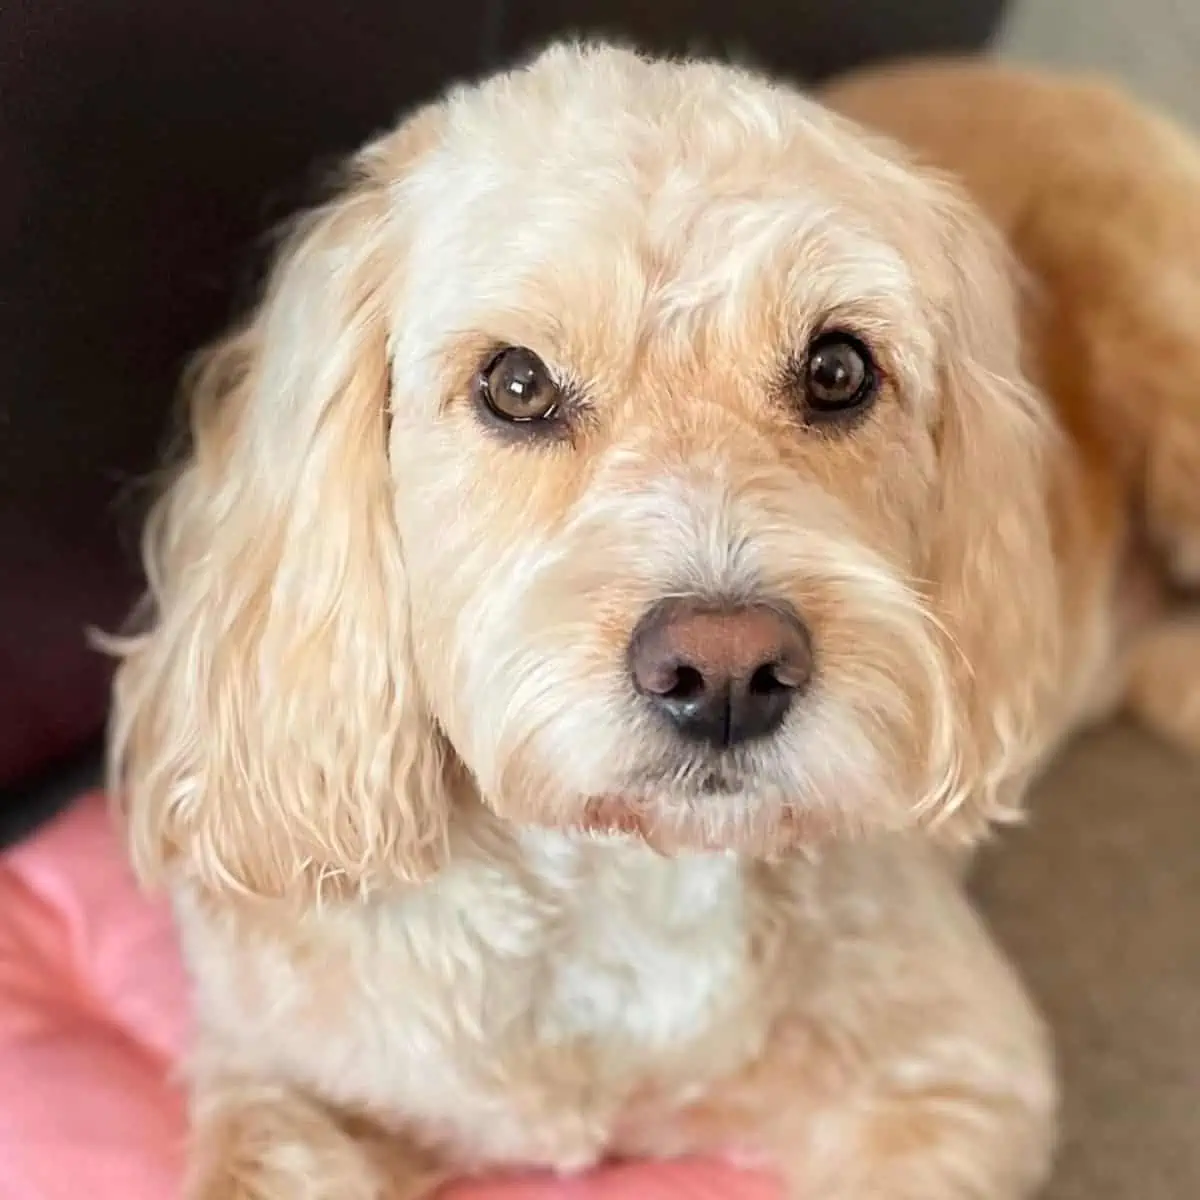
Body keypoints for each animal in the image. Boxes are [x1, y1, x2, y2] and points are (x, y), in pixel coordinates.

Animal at [108, 42, 1195, 1200]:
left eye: (839, 369)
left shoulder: (955, 1072)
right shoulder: (276, 1074)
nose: (726, 674)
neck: (615, 883)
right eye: (516, 382)